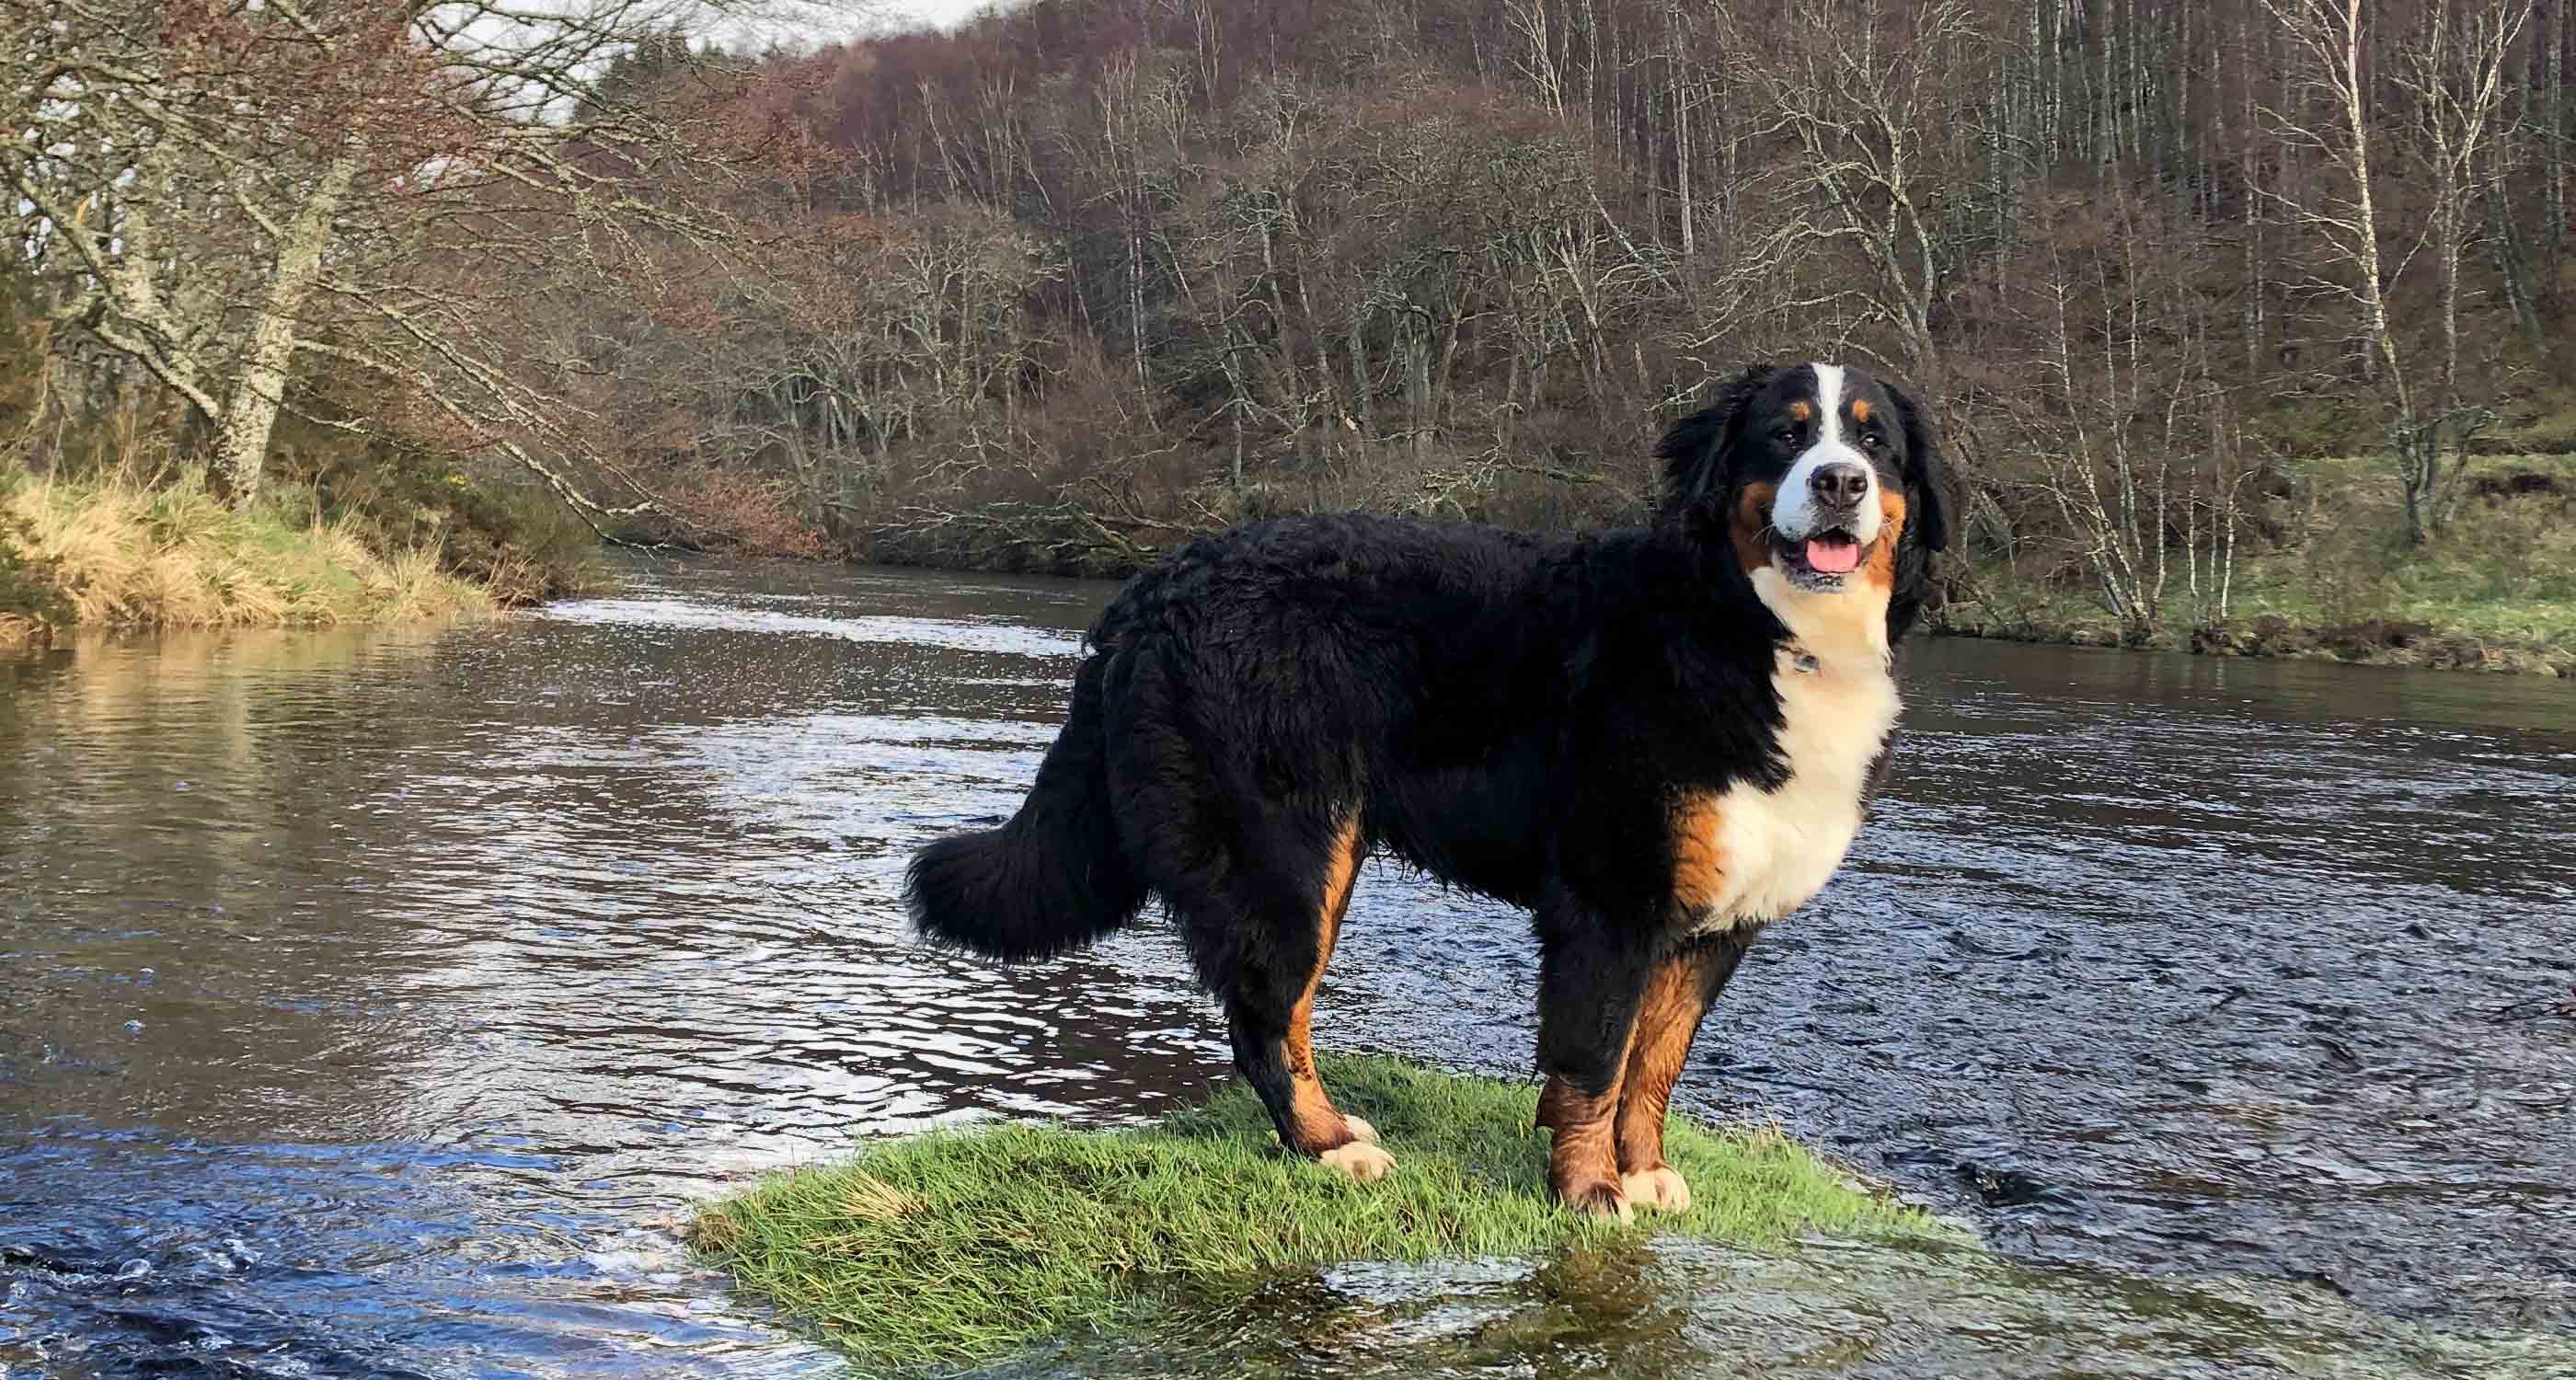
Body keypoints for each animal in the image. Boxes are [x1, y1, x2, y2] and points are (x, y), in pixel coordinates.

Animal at [906, 362, 1947, 1220]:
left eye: (1873, 444)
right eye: (1784, 435)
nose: (1839, 483)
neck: (1747, 629)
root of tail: (1153, 585)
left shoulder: (1713, 922)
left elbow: (1654, 1063)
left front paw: (1645, 1171)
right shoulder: (1610, 901)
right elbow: (1594, 1063)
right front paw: (1589, 1190)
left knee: (1281, 1015)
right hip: (1283, 854)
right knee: (1263, 1020)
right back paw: (1327, 1148)